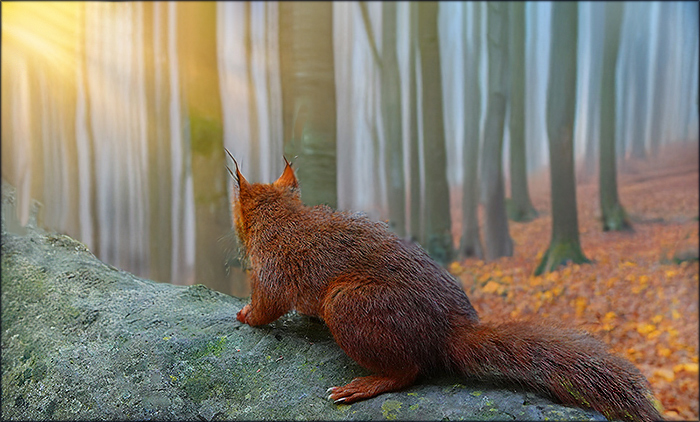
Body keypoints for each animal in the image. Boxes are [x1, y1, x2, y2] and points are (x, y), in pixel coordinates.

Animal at [226, 150, 661, 422]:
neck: (284, 219)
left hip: (350, 305)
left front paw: (246, 315)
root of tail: (448, 332)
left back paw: (366, 385)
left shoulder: (271, 271)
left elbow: (268, 305)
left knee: (408, 371)